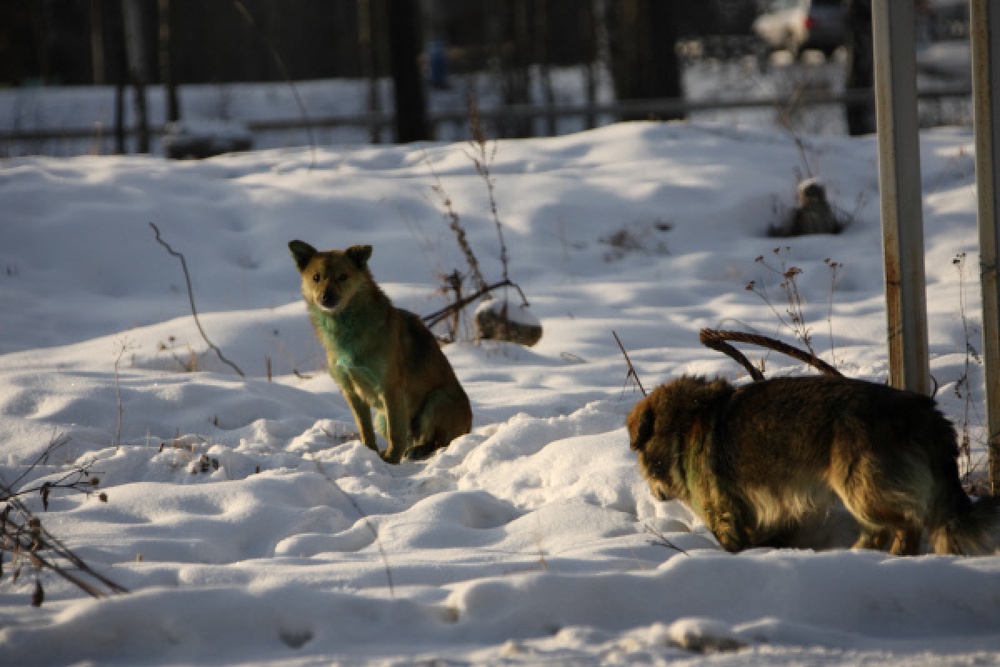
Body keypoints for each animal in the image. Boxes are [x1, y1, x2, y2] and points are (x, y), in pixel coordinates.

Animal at [292, 240, 474, 464]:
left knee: (438, 441)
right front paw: (369, 453)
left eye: (343, 276)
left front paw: (392, 459)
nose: (326, 297)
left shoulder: (390, 387)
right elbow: (365, 429)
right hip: (381, 418)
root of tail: (469, 426)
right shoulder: (351, 391)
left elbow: (396, 432)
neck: (347, 329)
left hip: (437, 401)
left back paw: (418, 449)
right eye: (316, 277)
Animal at [628, 376, 996, 560]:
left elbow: (734, 544)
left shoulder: (723, 513)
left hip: (860, 489)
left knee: (905, 525)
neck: (688, 421)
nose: (655, 495)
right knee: (880, 531)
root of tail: (927, 414)